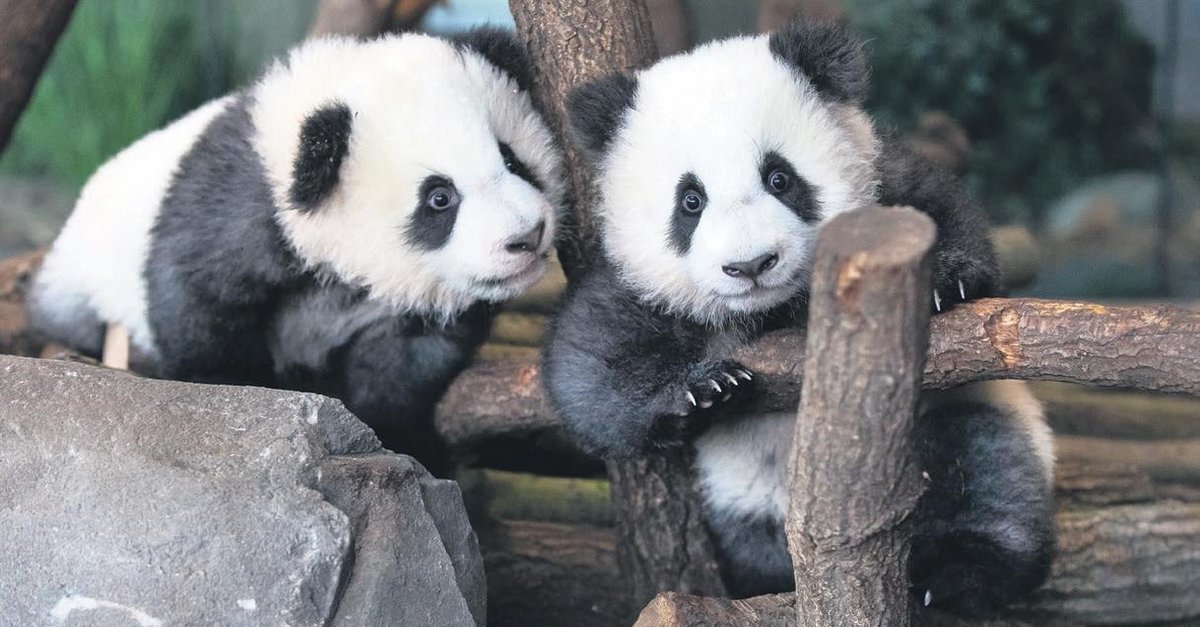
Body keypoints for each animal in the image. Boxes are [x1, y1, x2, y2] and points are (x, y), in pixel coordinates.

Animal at [29, 29, 564, 473]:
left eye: (512, 159)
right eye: (439, 198)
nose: (528, 235)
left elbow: (405, 364)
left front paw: (402, 442)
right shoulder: (239, 209)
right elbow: (198, 299)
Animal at [543, 22, 1055, 615]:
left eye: (779, 178)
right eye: (690, 200)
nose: (751, 265)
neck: (775, 309)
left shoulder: (884, 185)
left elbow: (940, 210)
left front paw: (948, 280)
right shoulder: (629, 281)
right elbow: (588, 368)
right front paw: (703, 391)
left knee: (986, 469)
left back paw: (957, 575)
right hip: (744, 492)